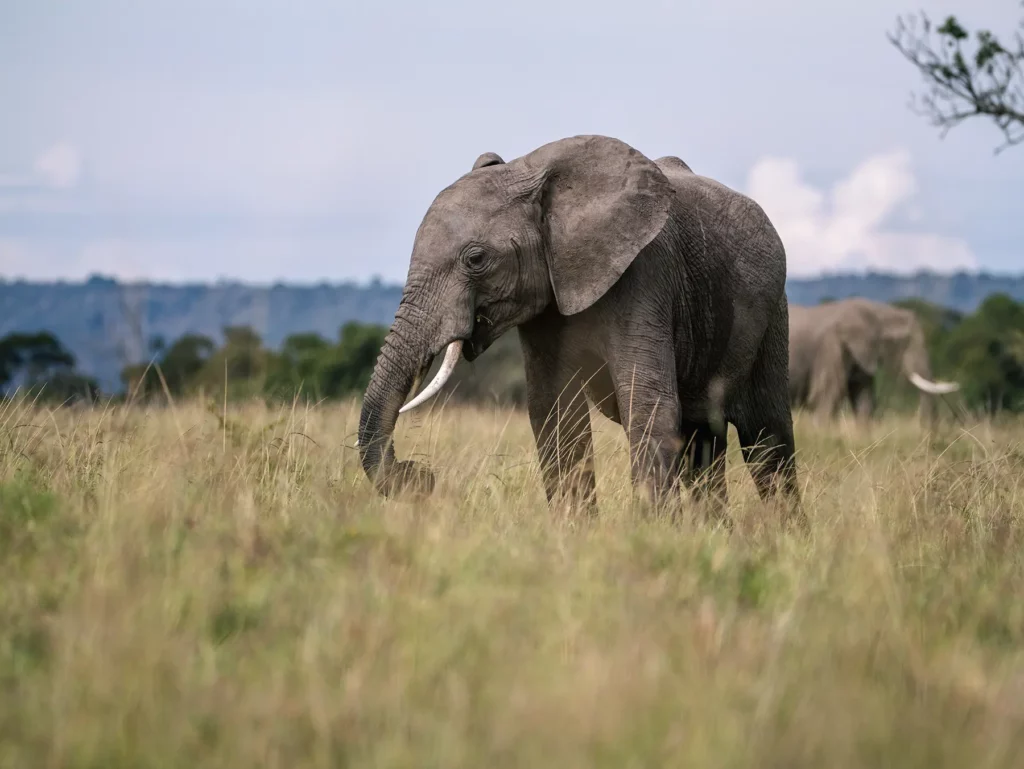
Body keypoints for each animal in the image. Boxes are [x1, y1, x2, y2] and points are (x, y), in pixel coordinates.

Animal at [357, 134, 803, 525]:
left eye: (476, 259)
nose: (419, 477)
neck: (534, 176)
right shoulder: (545, 301)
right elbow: (554, 413)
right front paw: (576, 533)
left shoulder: (646, 274)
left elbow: (647, 403)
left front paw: (651, 535)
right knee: (704, 439)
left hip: (773, 314)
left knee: (767, 437)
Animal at [787, 297, 960, 422]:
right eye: (901, 341)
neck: (877, 310)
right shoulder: (831, 348)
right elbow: (825, 396)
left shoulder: (861, 355)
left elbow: (864, 399)